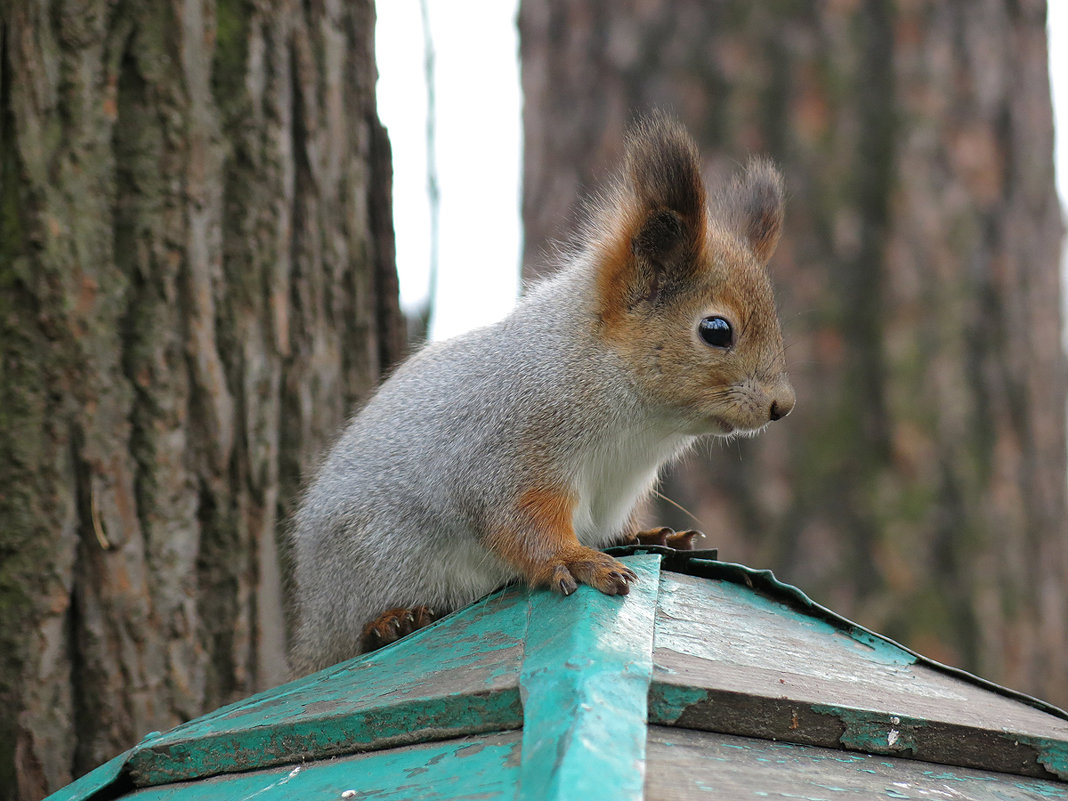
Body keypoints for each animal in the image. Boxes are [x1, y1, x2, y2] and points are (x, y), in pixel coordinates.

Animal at [290, 114, 794, 679]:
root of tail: (312, 633)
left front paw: (650, 538)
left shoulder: (620, 487)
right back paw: (392, 622)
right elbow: (517, 521)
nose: (782, 405)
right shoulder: (511, 451)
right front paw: (574, 560)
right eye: (716, 330)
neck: (641, 423)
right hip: (362, 568)